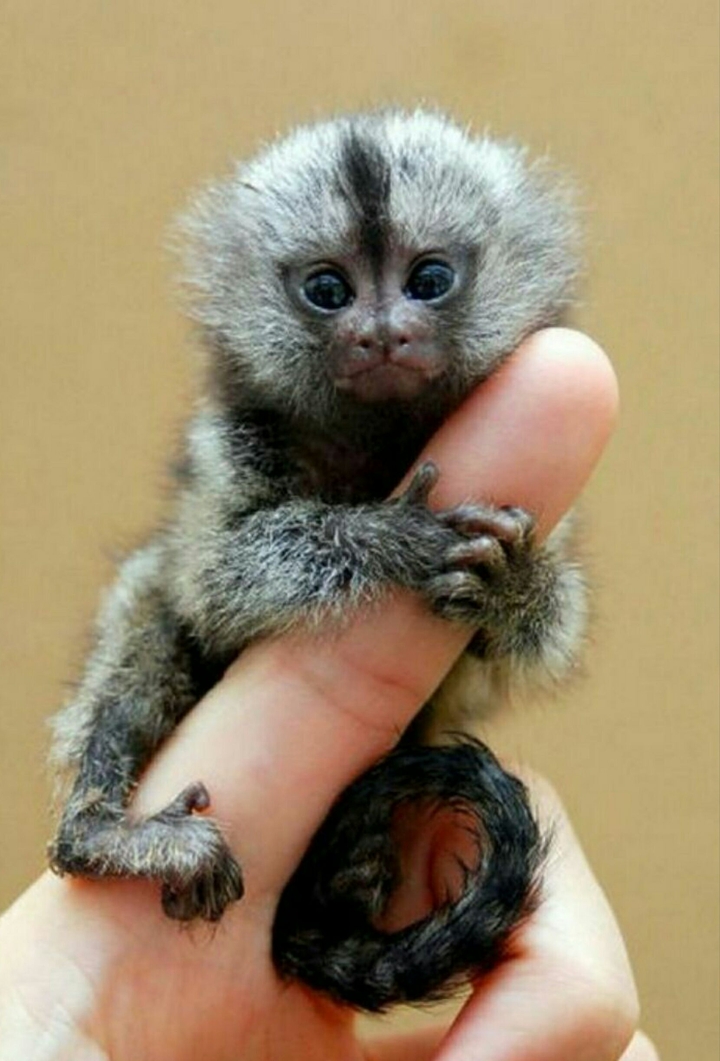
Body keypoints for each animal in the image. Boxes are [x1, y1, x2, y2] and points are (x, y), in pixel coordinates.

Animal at [47, 109, 586, 1012]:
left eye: (429, 279)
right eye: (329, 291)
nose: (382, 333)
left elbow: (525, 641)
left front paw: (515, 586)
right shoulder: (237, 442)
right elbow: (212, 581)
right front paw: (388, 537)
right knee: (148, 612)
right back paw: (98, 835)